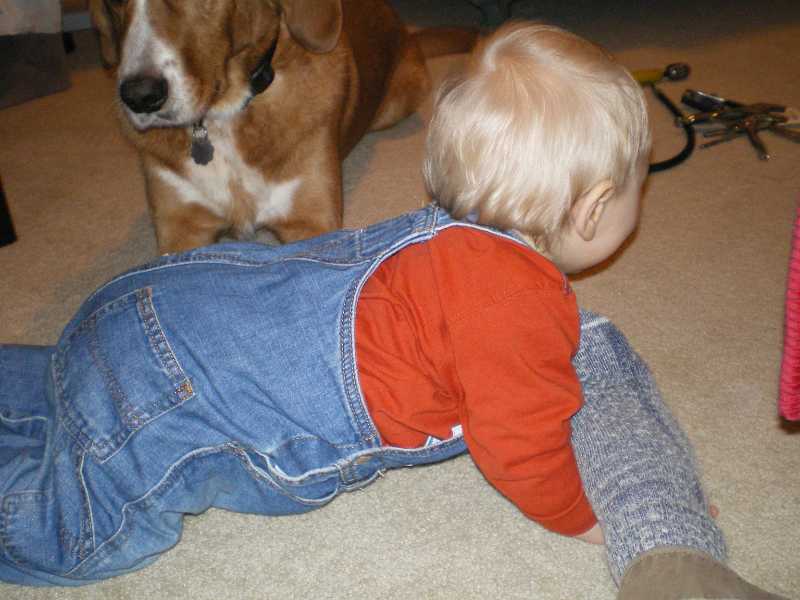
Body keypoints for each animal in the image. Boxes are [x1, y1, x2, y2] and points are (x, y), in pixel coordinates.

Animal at [89, 0, 476, 253]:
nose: (140, 96)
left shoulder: (310, 222)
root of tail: (408, 32)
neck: (225, 115)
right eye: (112, 1)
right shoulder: (181, 228)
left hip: (394, 106)